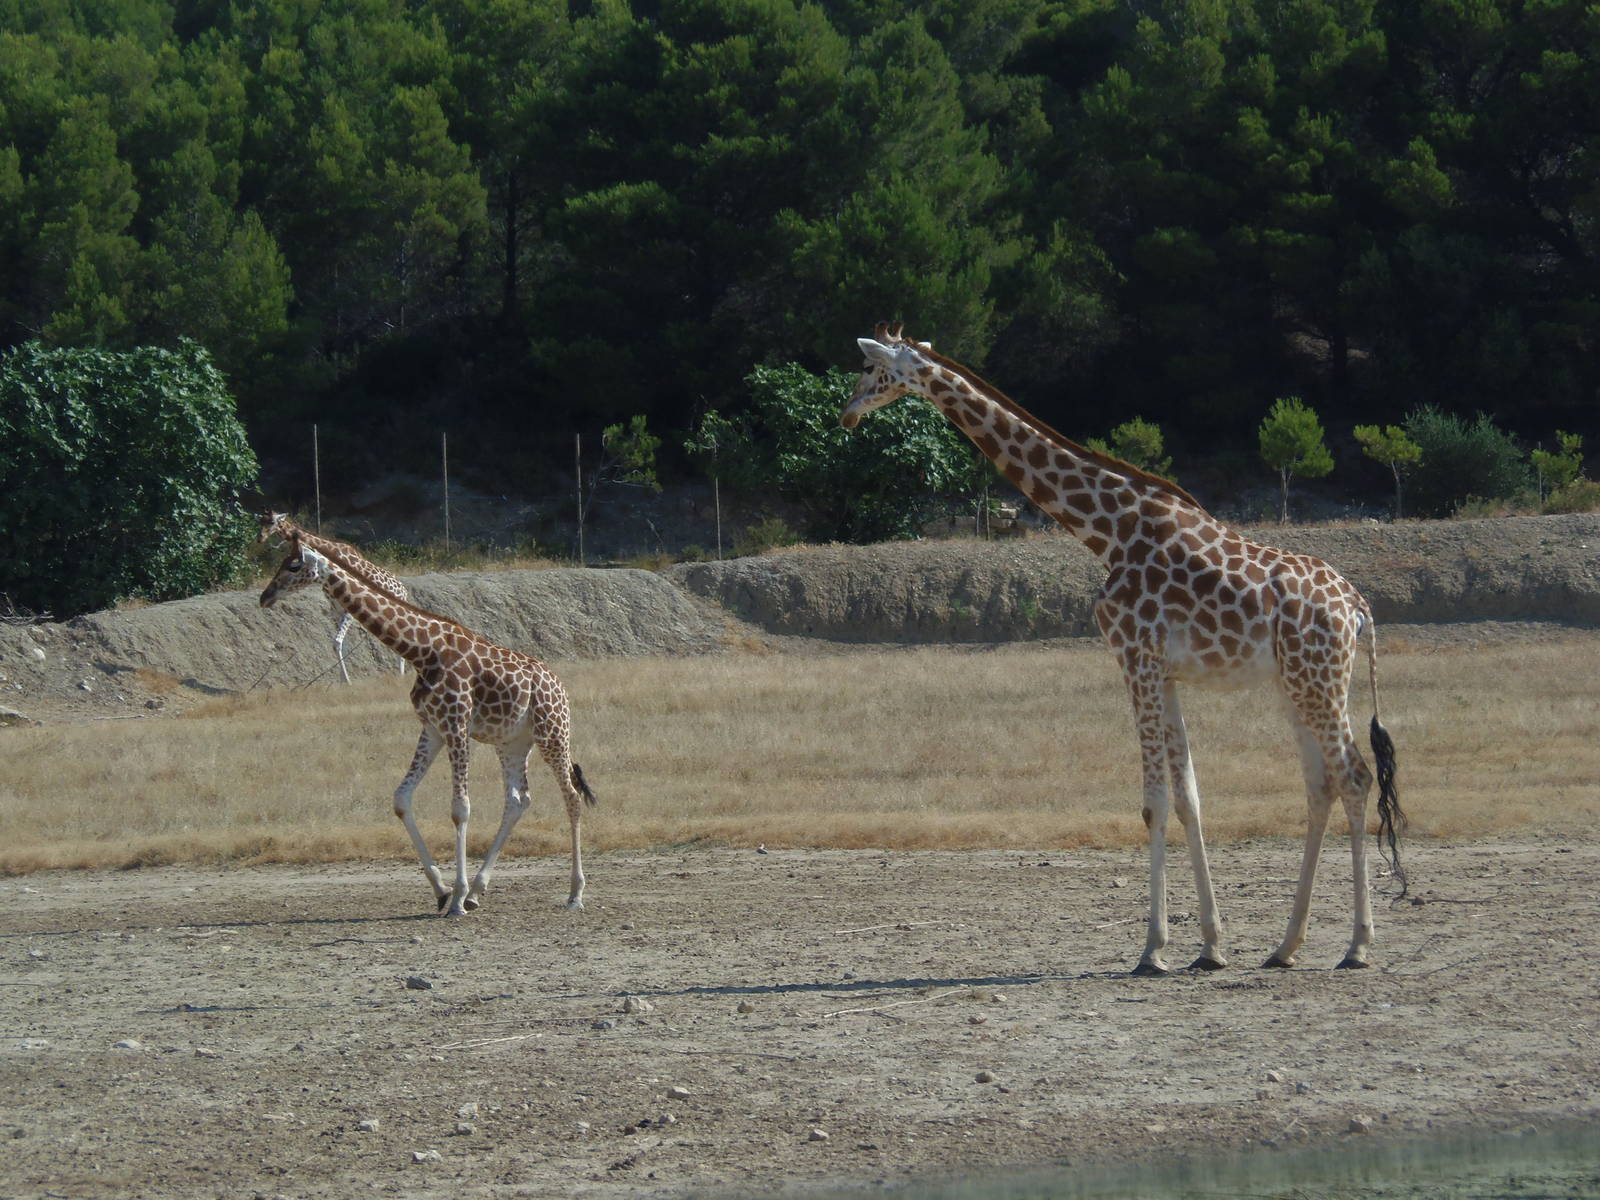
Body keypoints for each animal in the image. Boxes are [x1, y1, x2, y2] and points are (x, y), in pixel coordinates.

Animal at [258, 511, 410, 684]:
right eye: (261, 521)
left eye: (271, 522)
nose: (260, 538)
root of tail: (404, 589)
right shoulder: (336, 610)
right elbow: (340, 643)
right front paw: (343, 681)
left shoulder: (349, 611)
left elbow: (337, 641)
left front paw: (346, 681)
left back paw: (402, 676)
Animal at [260, 535, 596, 916]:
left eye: (293, 565)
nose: (265, 596)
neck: (421, 651)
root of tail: (559, 685)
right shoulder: (432, 728)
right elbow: (401, 798)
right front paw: (443, 890)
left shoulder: (455, 724)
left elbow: (460, 809)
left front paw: (457, 897)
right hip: (511, 741)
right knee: (517, 800)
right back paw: (480, 889)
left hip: (552, 732)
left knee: (571, 796)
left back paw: (574, 894)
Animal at [842, 325, 1403, 974]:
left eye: (870, 369)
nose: (846, 413)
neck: (1107, 531)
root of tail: (1358, 607)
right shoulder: (1165, 671)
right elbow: (1188, 799)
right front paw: (1210, 947)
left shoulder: (1135, 658)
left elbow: (1153, 803)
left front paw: (1153, 949)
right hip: (1296, 684)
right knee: (1322, 785)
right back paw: (1285, 946)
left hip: (1319, 679)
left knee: (1355, 778)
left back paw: (1357, 946)